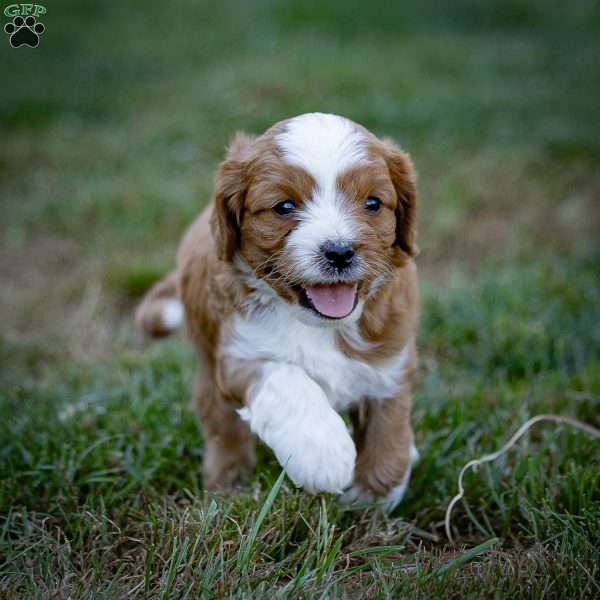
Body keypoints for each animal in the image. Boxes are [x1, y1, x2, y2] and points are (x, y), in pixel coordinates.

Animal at [137, 111, 420, 506]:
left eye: (373, 203)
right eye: (284, 207)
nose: (340, 251)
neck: (317, 325)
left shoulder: (390, 357)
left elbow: (388, 427)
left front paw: (372, 499)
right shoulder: (237, 356)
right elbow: (287, 380)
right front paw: (324, 453)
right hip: (208, 370)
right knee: (222, 429)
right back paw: (229, 489)